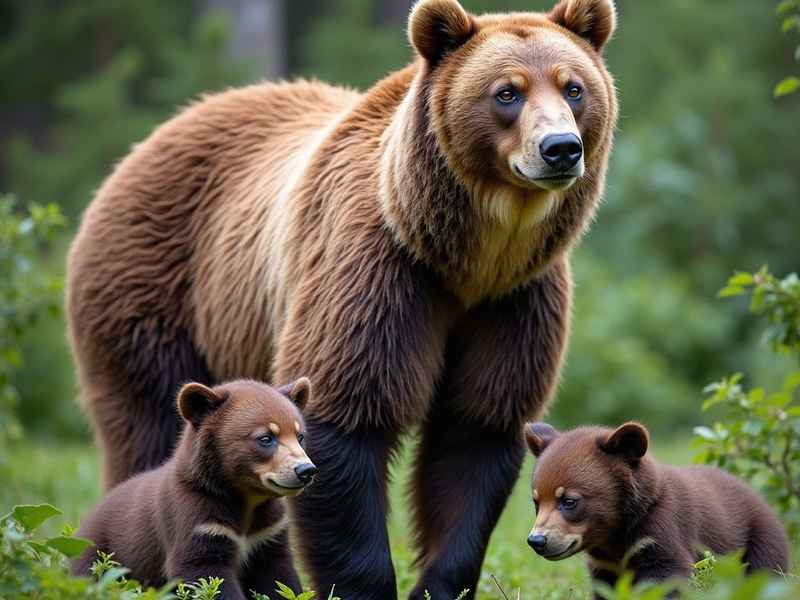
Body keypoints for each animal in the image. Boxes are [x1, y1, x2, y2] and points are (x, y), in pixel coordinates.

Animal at [71, 378, 316, 599]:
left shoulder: (268, 531)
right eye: (266, 438)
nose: (306, 470)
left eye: (300, 436)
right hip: (96, 553)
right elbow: (202, 572)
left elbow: (280, 577)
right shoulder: (197, 520)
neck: (246, 498)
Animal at [524, 422, 790, 593]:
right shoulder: (603, 564)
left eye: (569, 501)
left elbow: (668, 577)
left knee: (767, 573)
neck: (614, 535)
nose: (537, 540)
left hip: (760, 541)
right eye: (536, 502)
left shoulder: (660, 531)